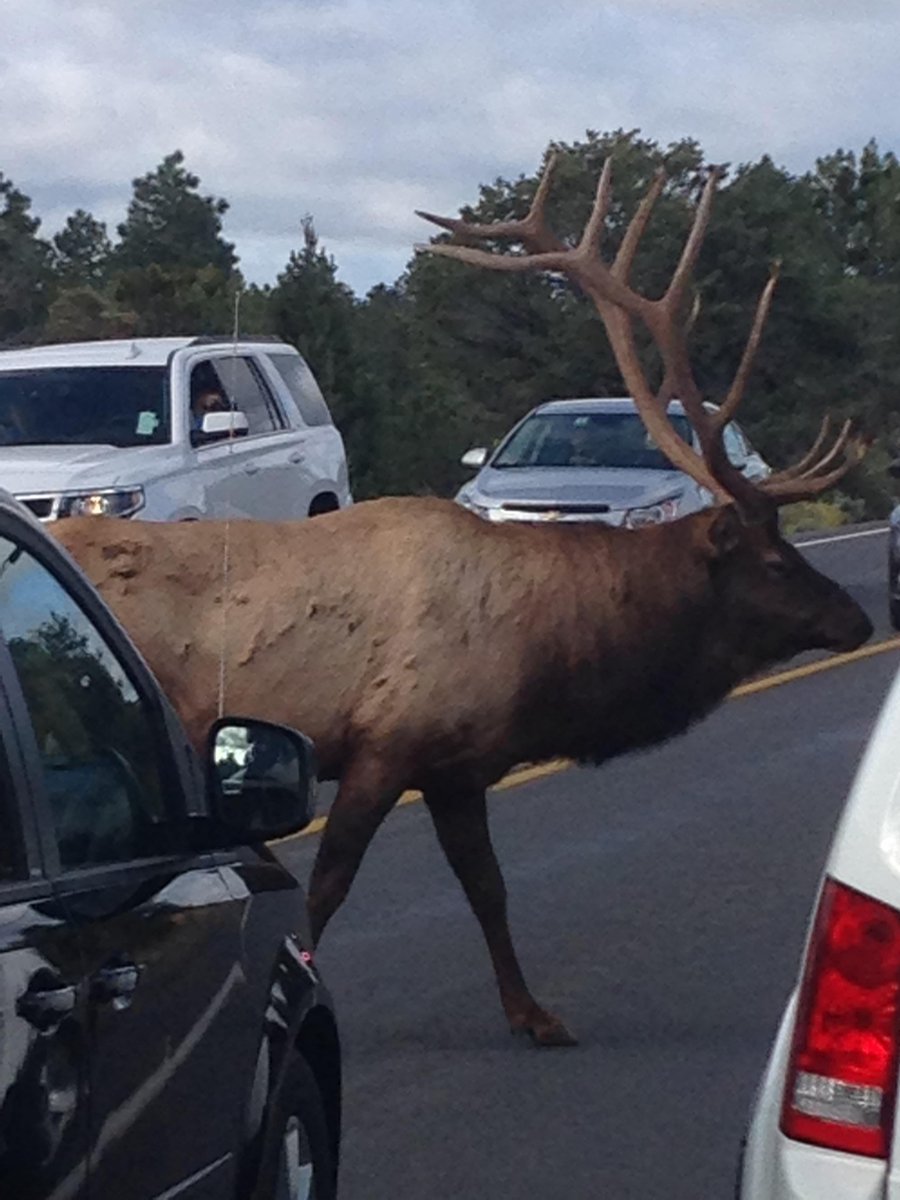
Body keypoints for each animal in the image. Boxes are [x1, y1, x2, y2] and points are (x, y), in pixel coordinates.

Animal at [52, 154, 873, 1048]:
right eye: (776, 560)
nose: (859, 618)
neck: (548, 651)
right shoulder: (386, 742)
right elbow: (327, 890)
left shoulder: (454, 765)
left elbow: (488, 888)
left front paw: (533, 1014)